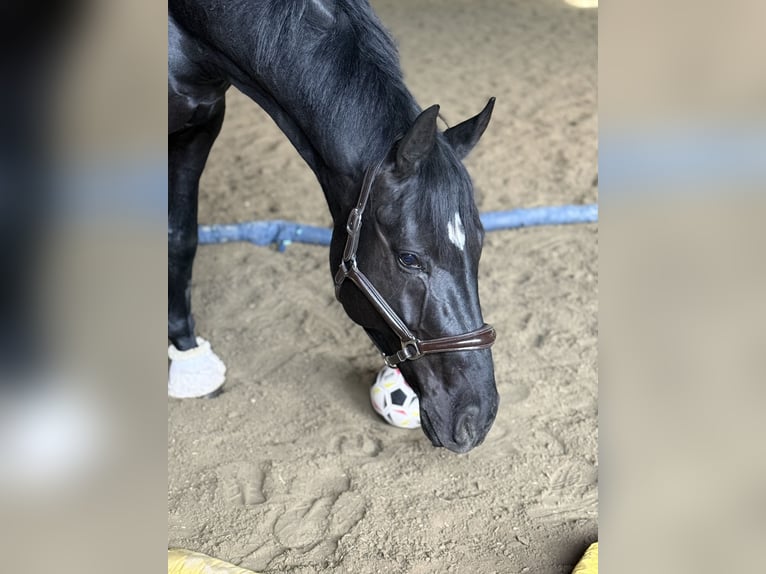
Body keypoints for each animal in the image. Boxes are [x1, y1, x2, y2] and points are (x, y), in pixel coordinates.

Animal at [168, 0, 499, 453]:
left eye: (479, 246)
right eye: (409, 258)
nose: (476, 418)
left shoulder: (200, 124)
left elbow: (181, 236)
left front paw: (186, 354)